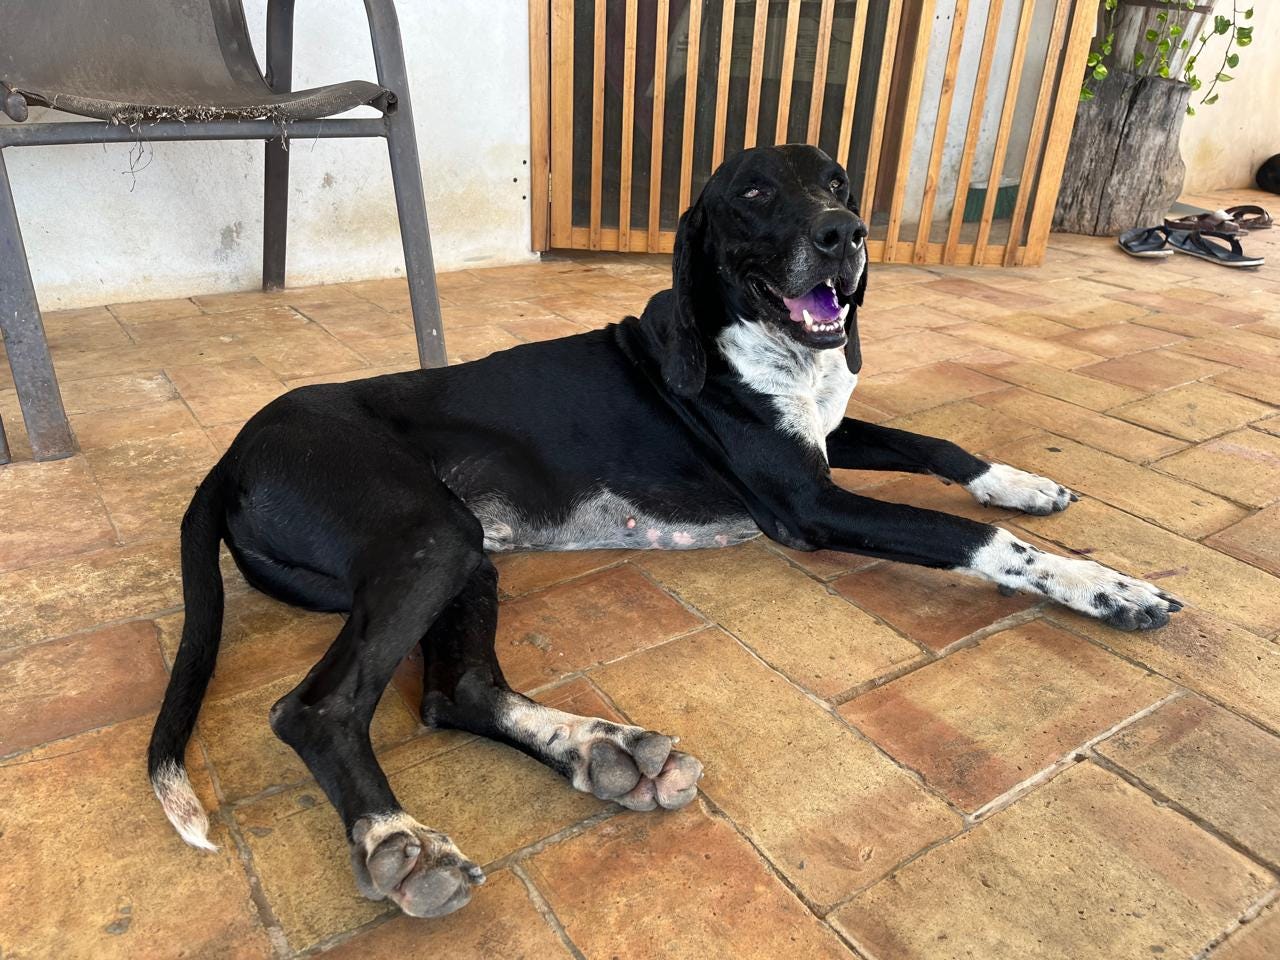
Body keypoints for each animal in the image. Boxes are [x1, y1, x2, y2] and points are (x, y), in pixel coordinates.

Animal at [147, 140, 1177, 916]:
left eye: (839, 183)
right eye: (754, 192)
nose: (845, 236)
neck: (762, 343)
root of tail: (231, 453)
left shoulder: (828, 443)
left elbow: (937, 443)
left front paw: (1022, 483)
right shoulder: (812, 504)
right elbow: (975, 542)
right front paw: (1104, 585)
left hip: (464, 549)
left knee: (455, 691)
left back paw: (600, 751)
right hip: (428, 536)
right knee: (317, 709)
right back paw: (397, 837)